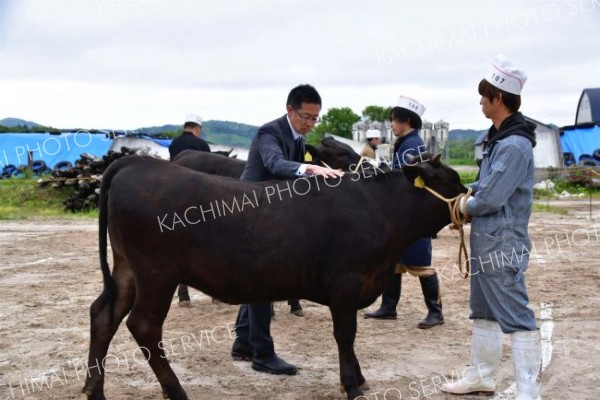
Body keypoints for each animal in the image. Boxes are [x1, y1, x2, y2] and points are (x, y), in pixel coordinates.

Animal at [82, 153, 466, 400]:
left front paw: (357, 379)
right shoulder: (347, 282)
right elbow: (345, 335)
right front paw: (353, 385)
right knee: (143, 325)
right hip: (157, 273)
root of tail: (136, 162)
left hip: (127, 269)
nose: (469, 195)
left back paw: (94, 389)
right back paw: (176, 391)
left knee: (103, 315)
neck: (380, 206)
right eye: (450, 180)